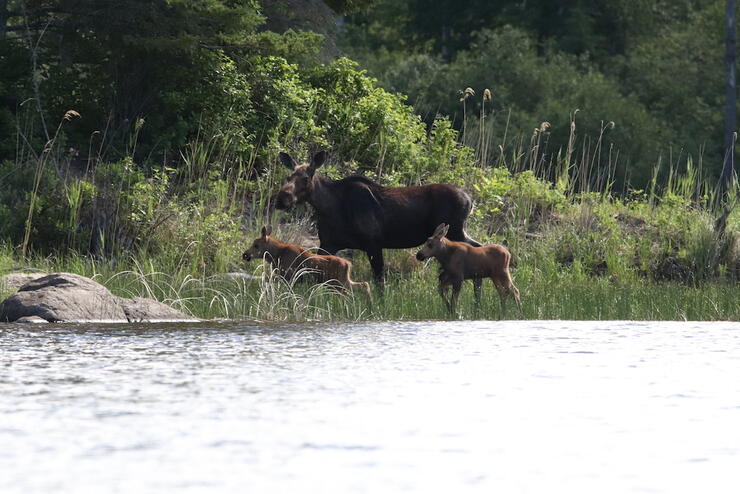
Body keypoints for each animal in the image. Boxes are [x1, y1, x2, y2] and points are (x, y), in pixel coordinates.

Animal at [241, 226, 370, 296]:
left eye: (256, 245)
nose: (245, 254)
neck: (276, 256)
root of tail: (349, 264)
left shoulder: (290, 277)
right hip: (341, 282)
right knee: (364, 284)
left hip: (336, 283)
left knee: (351, 292)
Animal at [274, 149, 480, 284]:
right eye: (288, 177)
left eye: (306, 178)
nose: (281, 199)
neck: (329, 209)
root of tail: (470, 201)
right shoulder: (328, 243)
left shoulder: (373, 243)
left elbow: (379, 282)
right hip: (459, 231)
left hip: (454, 230)